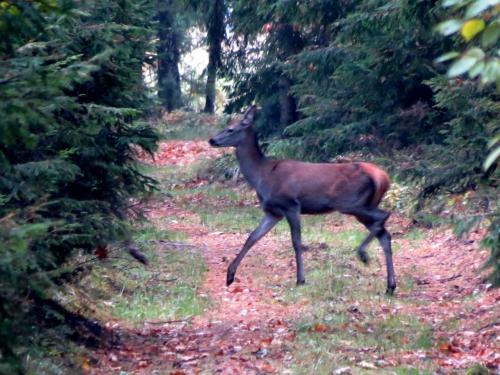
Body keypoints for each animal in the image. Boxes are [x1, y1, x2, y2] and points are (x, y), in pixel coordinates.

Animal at [209, 104, 396, 296]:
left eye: (231, 129)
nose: (211, 140)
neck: (262, 176)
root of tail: (382, 177)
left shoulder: (291, 205)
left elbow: (296, 242)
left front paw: (300, 279)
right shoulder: (273, 212)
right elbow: (252, 237)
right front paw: (230, 275)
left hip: (350, 203)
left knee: (384, 216)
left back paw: (363, 254)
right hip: (363, 205)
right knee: (384, 234)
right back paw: (390, 286)